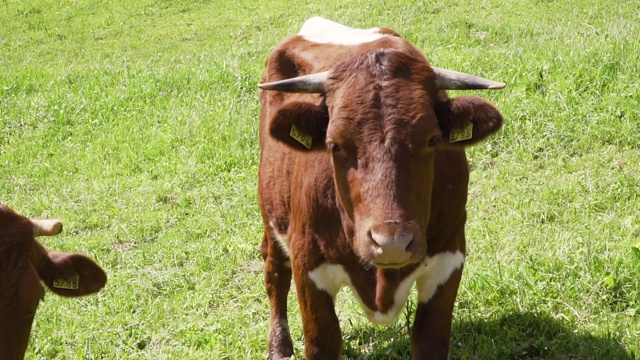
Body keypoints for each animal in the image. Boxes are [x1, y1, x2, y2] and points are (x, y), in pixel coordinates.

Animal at [258, 18, 508, 358]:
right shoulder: (307, 265)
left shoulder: (449, 258)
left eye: (432, 139)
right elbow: (322, 342)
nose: (392, 243)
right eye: (334, 144)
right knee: (274, 272)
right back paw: (279, 346)